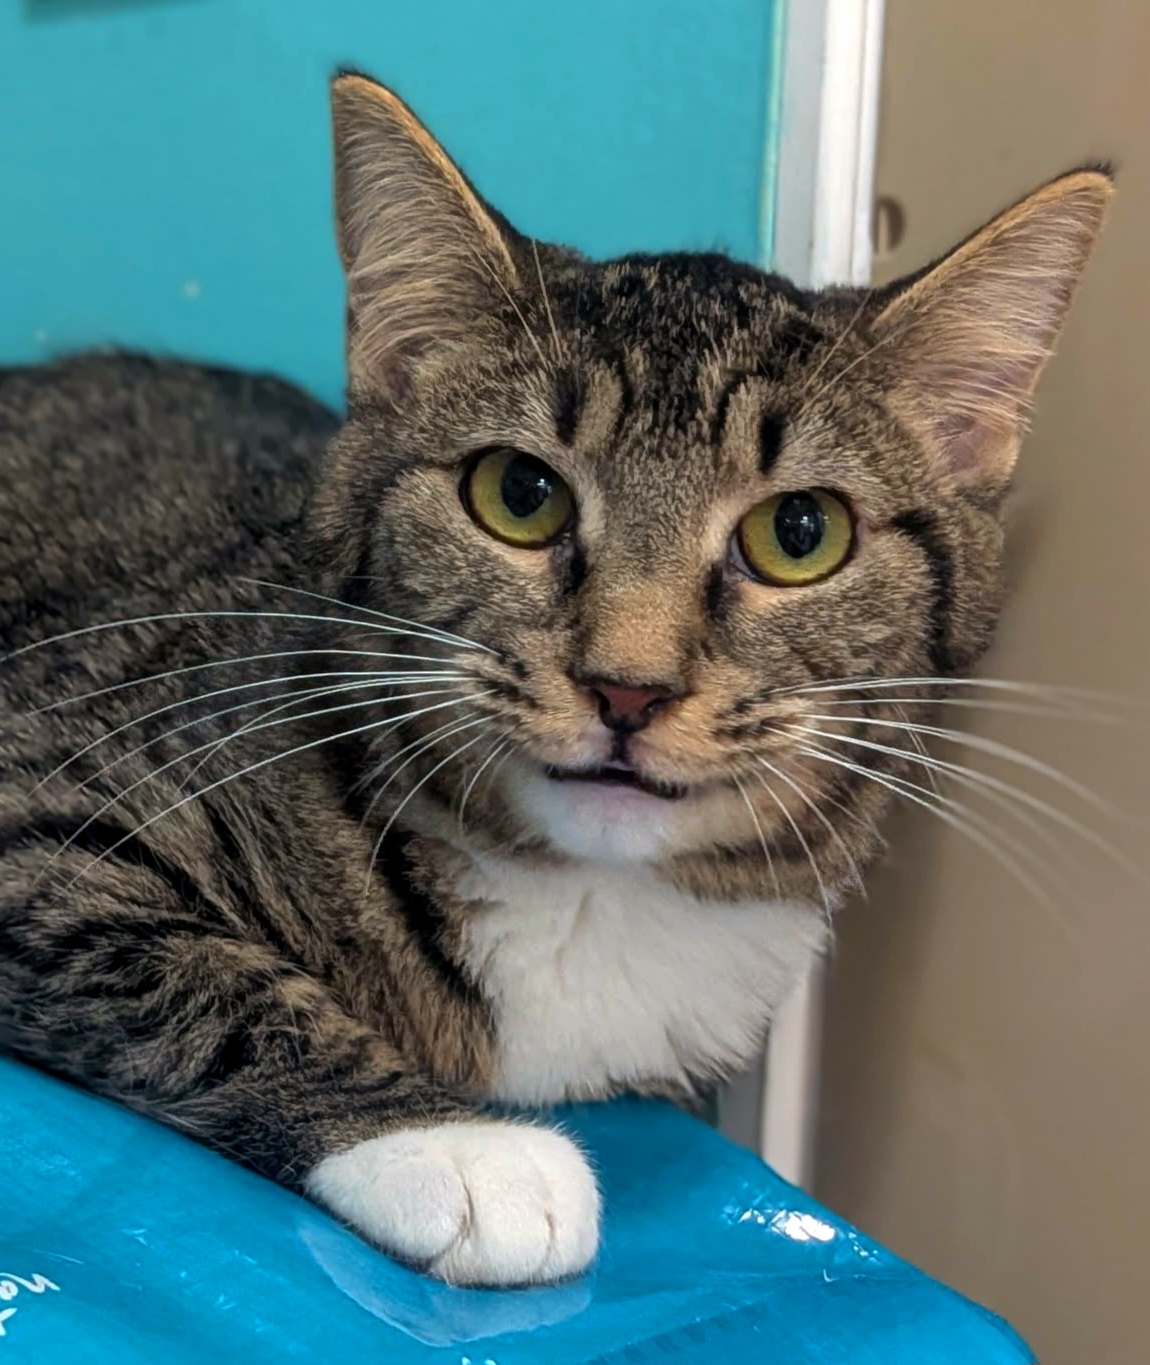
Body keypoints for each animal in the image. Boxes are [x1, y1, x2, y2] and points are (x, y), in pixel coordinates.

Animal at [0, 71, 1111, 1286]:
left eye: (799, 533)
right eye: (518, 494)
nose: (627, 688)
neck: (588, 897)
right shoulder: (45, 777)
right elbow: (197, 968)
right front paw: (454, 1147)